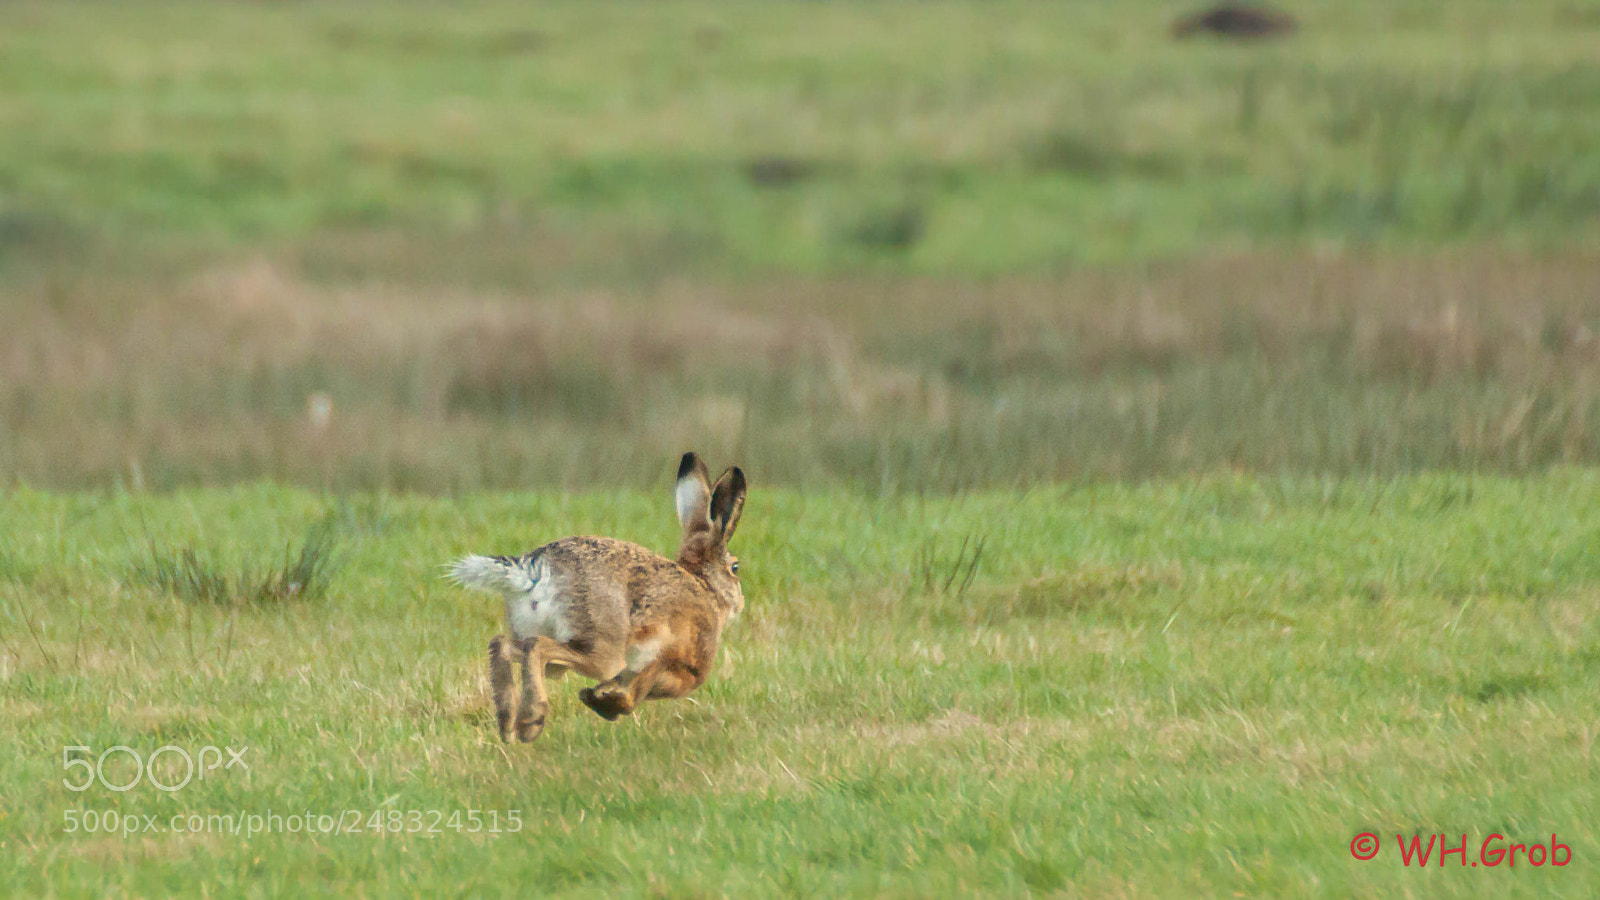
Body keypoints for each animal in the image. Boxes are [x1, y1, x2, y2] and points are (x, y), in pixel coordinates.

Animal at [449, 452, 746, 742]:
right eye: (735, 568)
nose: (741, 603)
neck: (705, 586)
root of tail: (536, 570)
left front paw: (598, 699)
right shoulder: (673, 656)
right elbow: (643, 686)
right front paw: (608, 704)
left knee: (503, 645)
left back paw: (508, 724)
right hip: (603, 646)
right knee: (538, 646)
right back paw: (530, 722)